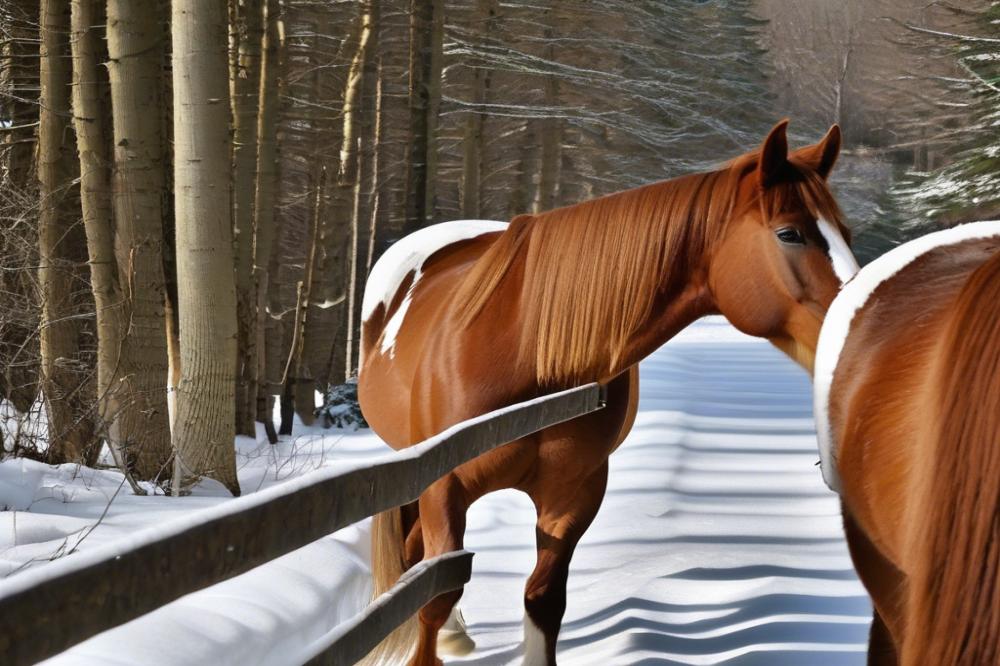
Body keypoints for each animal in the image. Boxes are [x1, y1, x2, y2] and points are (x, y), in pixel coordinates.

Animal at [356, 120, 856, 664]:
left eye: (845, 234)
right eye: (790, 233)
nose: (862, 320)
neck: (528, 353)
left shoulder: (574, 494)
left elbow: (544, 598)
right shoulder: (443, 487)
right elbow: (435, 592)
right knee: (420, 560)